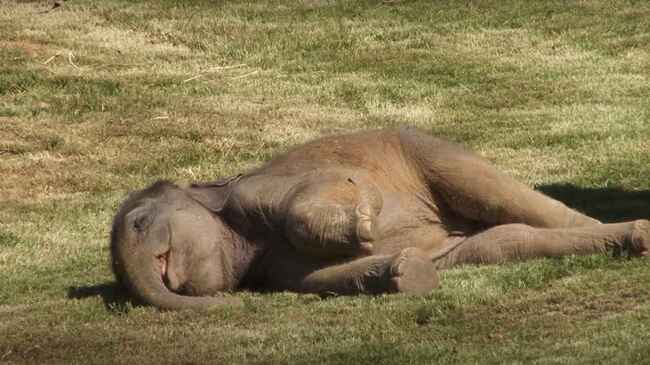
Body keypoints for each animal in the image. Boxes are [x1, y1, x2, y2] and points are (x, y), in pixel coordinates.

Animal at [111, 126, 648, 308]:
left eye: (139, 223)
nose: (228, 303)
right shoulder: (271, 271)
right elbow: (322, 279)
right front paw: (404, 271)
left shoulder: (261, 188)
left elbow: (332, 189)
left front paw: (366, 220)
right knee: (503, 242)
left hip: (428, 152)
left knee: (503, 199)